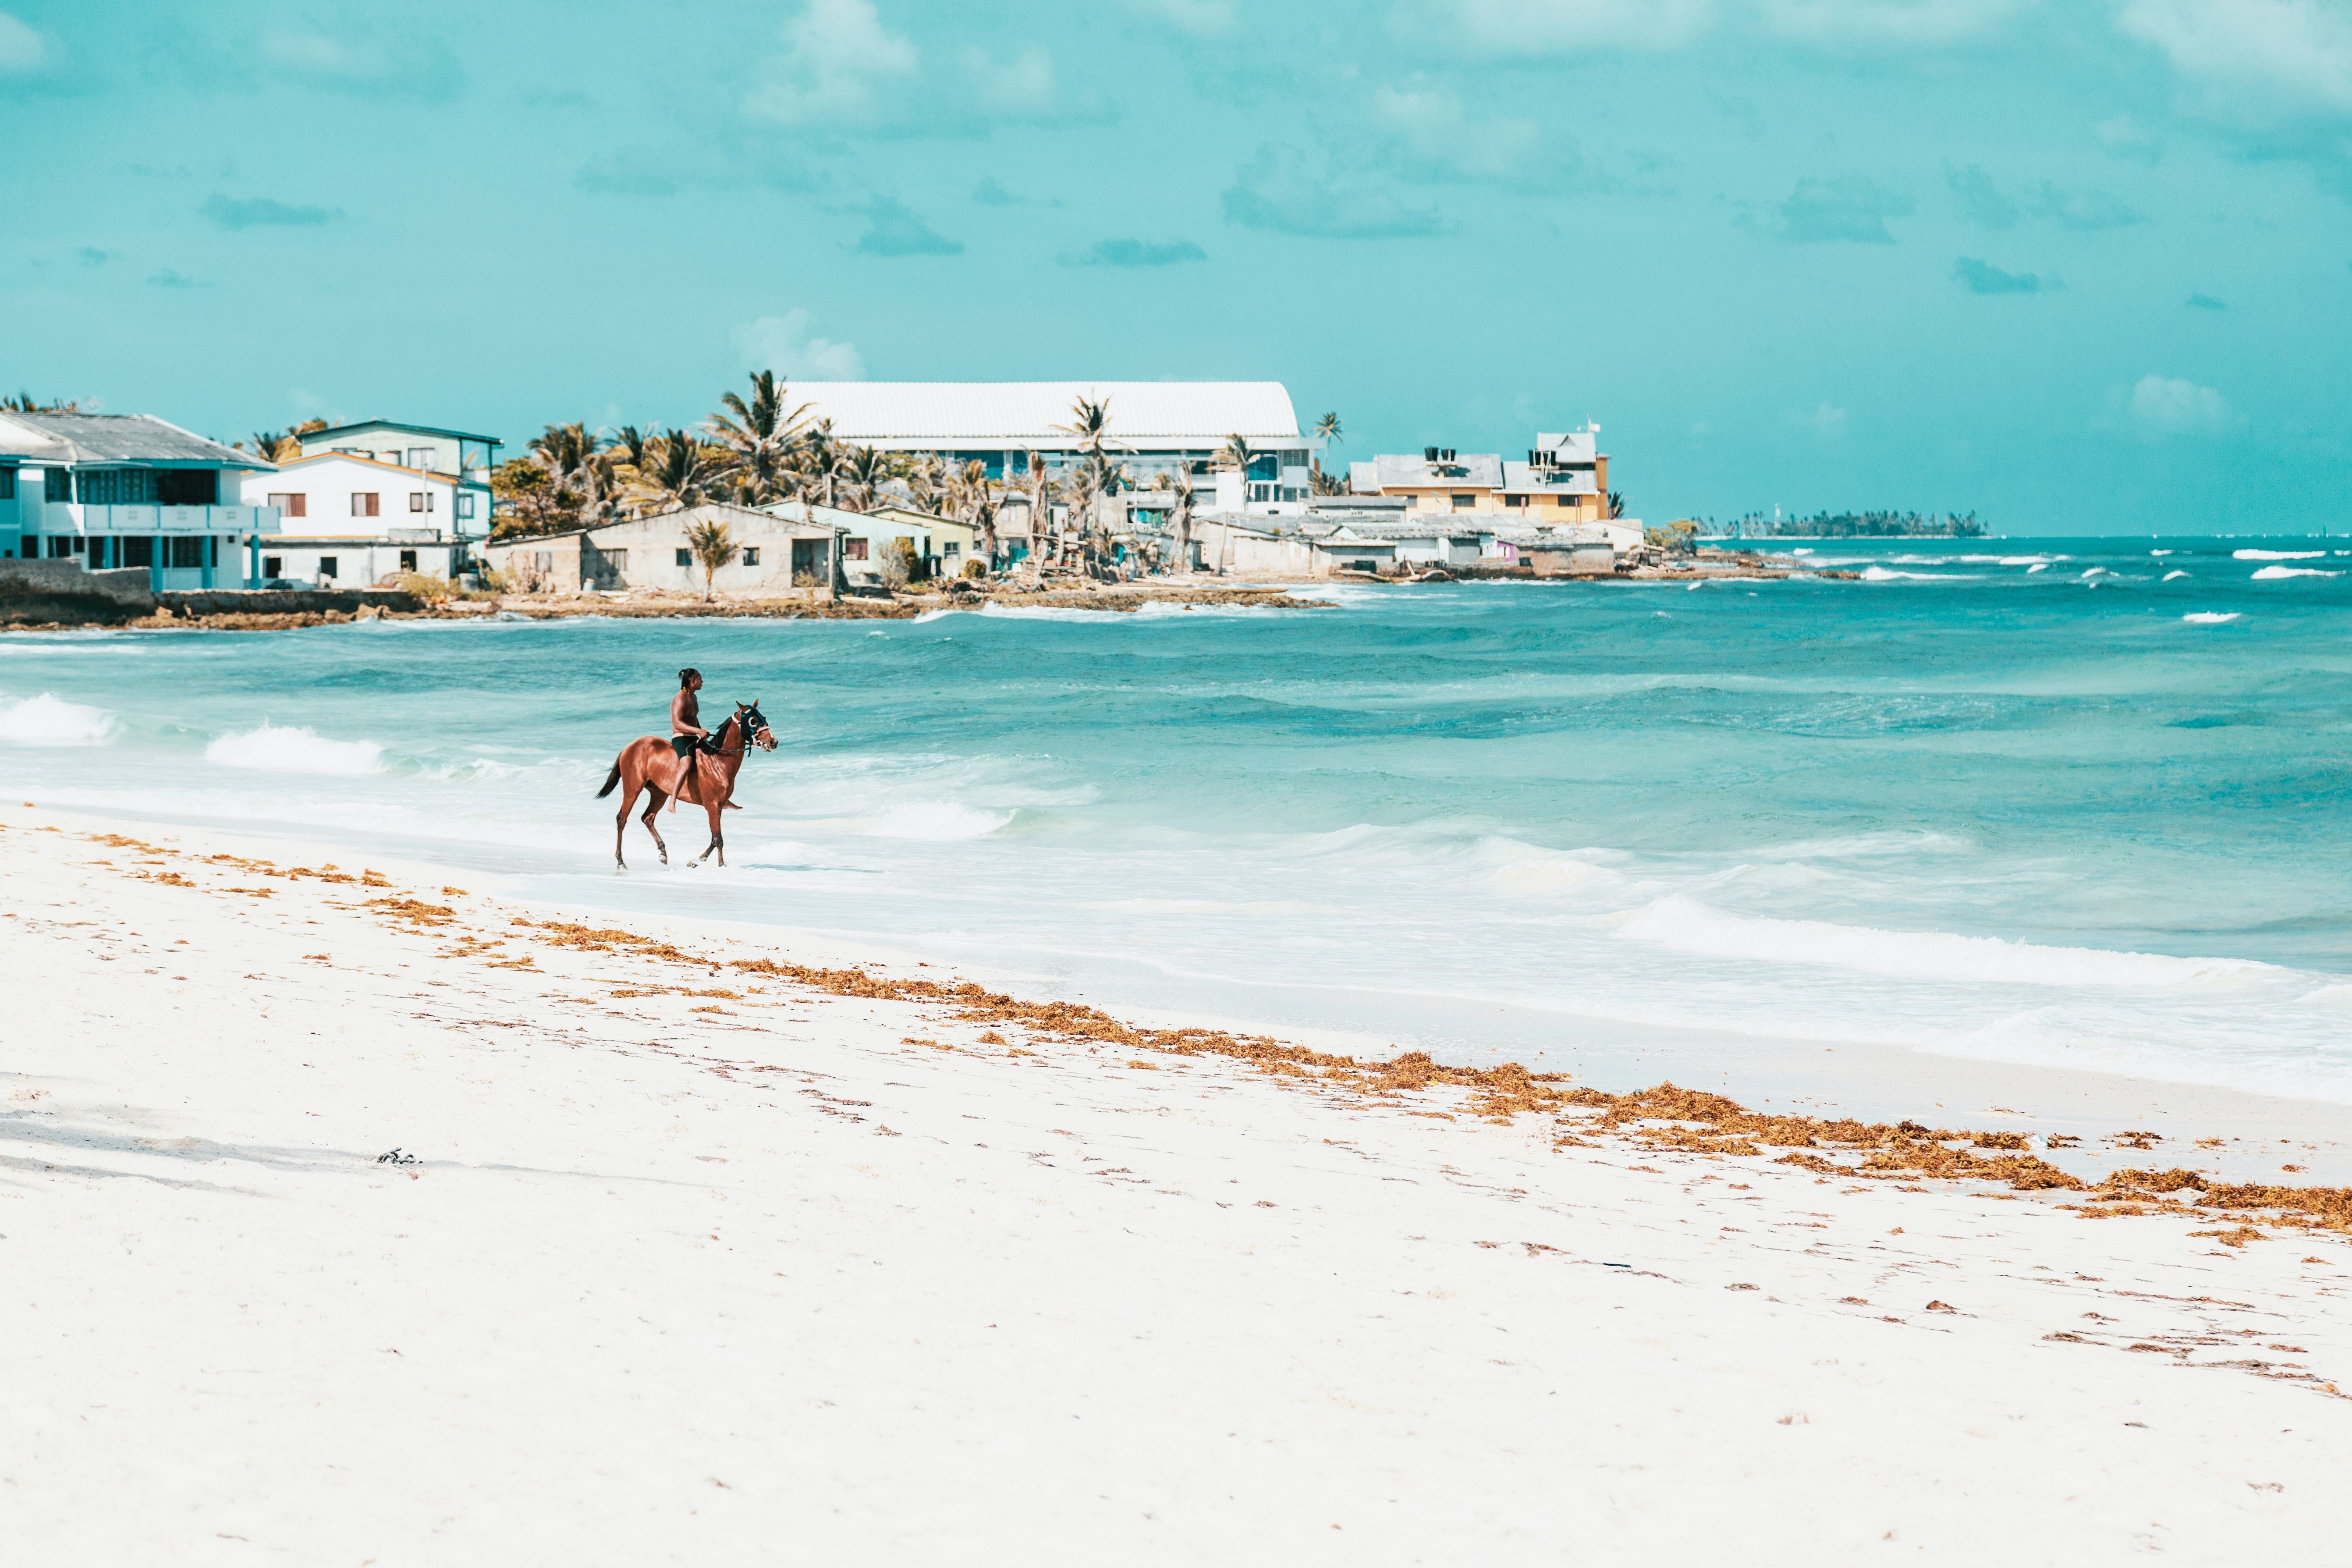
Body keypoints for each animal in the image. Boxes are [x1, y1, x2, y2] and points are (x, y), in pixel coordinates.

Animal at [592, 700, 776, 869]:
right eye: (753, 721)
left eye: (764, 717)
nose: (773, 742)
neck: (719, 760)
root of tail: (630, 746)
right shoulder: (712, 805)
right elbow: (718, 839)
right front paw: (721, 866)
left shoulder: (718, 807)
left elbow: (713, 838)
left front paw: (696, 861)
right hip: (632, 789)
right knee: (622, 819)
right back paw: (621, 862)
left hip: (659, 794)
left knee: (648, 818)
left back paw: (663, 853)